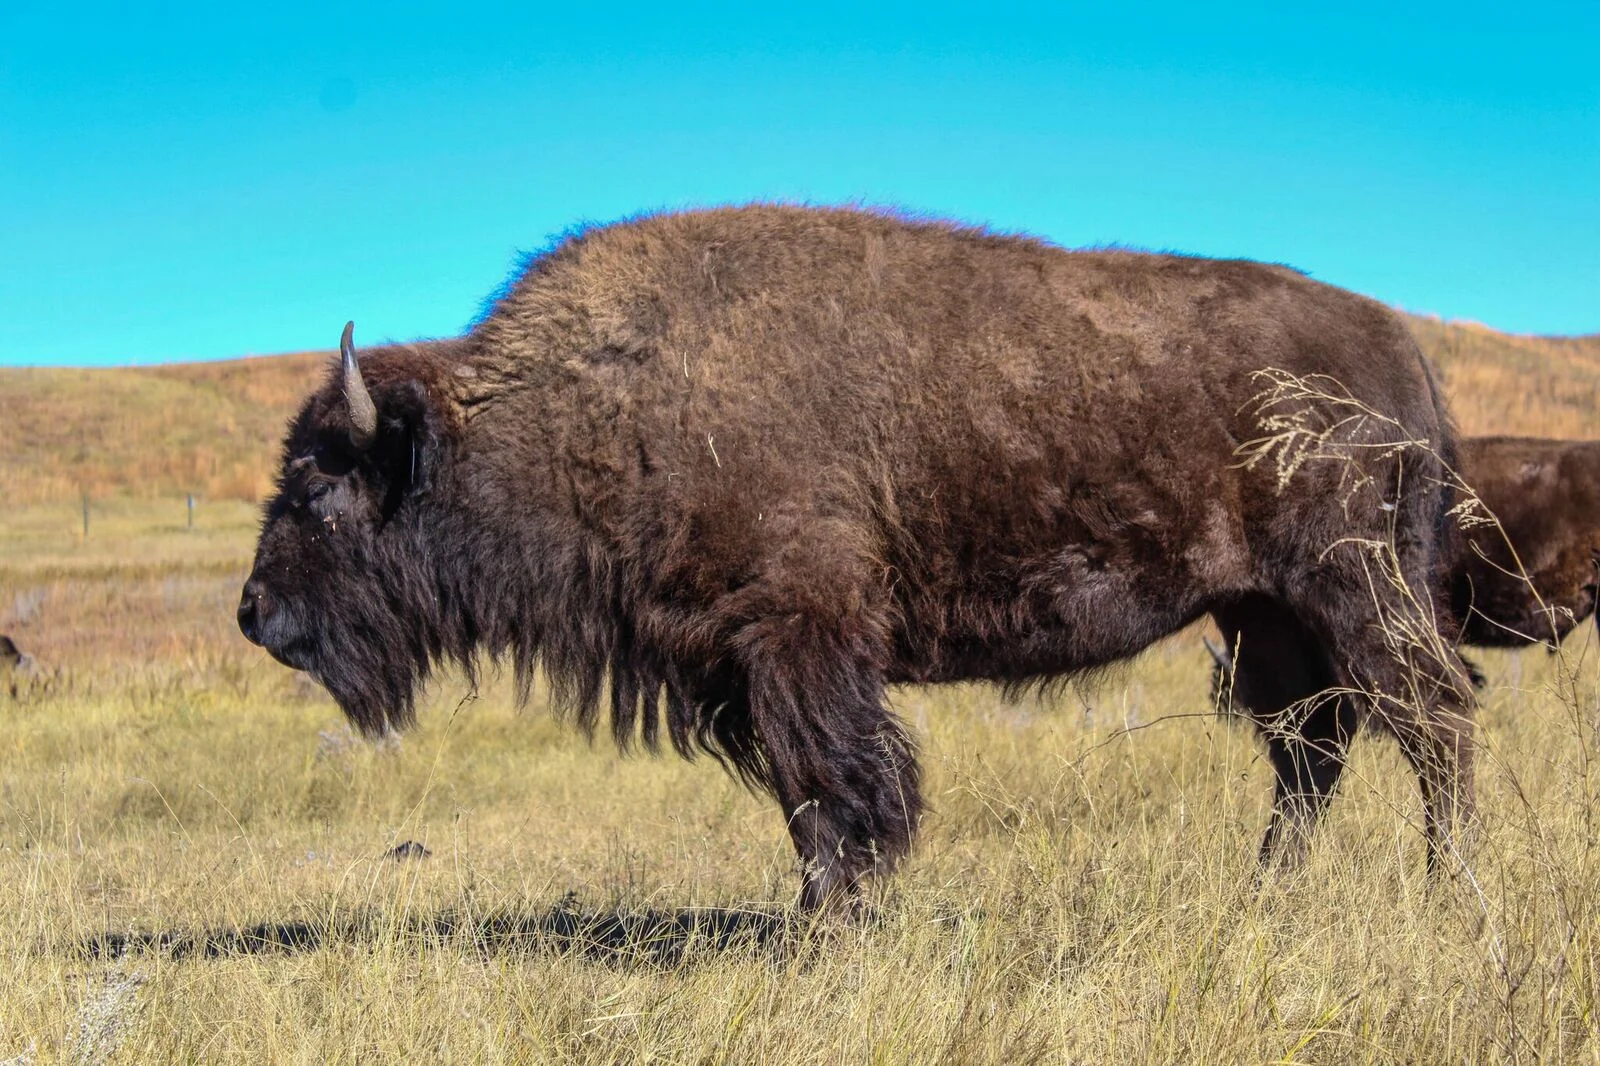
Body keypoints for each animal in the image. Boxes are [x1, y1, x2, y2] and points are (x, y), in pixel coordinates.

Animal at [240, 205, 1474, 908]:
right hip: (1261, 614)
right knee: (1310, 747)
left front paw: (830, 926)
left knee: (1430, 715)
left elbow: (839, 789)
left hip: (1350, 590)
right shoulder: (741, 666)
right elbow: (807, 799)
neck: (579, 402)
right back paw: (1269, 895)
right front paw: (822, 920)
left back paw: (1445, 895)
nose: (254, 612)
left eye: (319, 486)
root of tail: (1401, 347)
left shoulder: (801, 637)